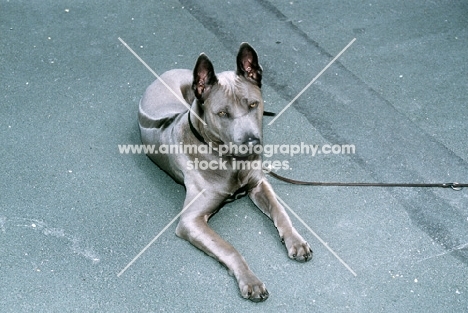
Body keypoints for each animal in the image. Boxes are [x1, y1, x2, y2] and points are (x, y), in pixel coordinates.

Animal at [139, 42, 314, 302]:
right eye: (222, 113)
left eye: (253, 104)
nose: (252, 143)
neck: (230, 160)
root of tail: (167, 72)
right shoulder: (191, 220)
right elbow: (229, 249)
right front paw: (250, 280)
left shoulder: (259, 184)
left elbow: (280, 212)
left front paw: (296, 240)